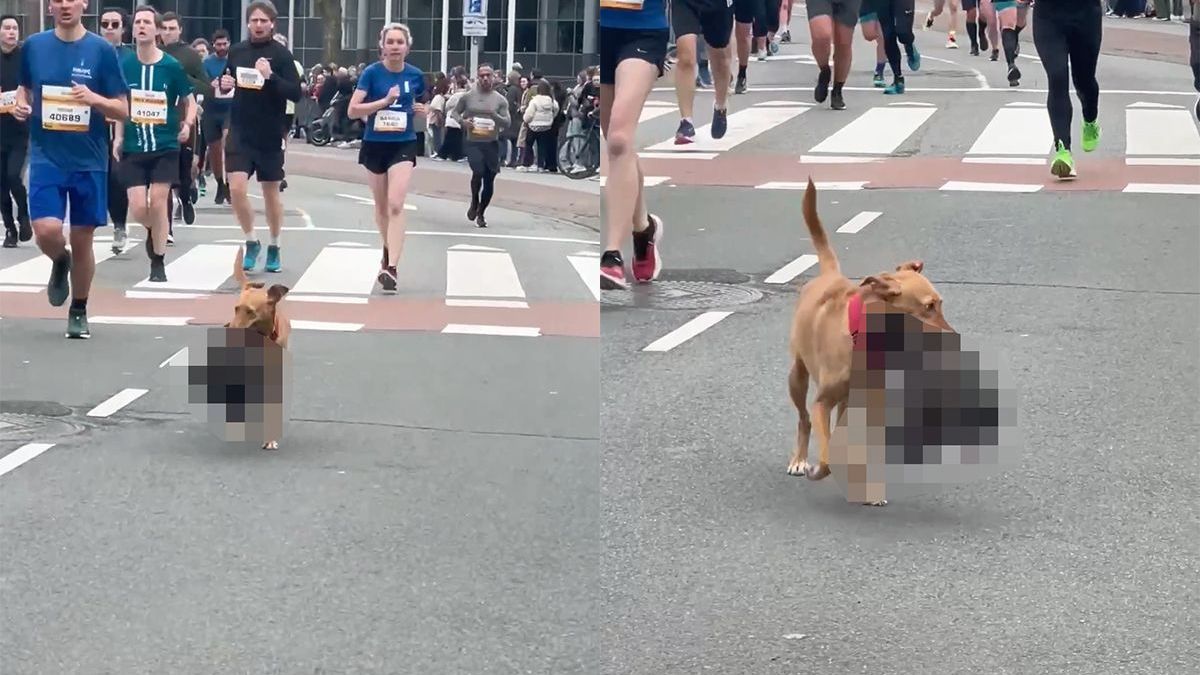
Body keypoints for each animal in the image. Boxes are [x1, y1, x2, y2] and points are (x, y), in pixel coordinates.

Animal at [787, 176, 955, 497]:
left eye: (940, 304)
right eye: (928, 307)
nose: (955, 336)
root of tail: (830, 274)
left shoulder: (870, 408)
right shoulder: (822, 402)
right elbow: (825, 453)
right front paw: (819, 469)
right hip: (798, 375)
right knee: (803, 418)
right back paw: (800, 460)